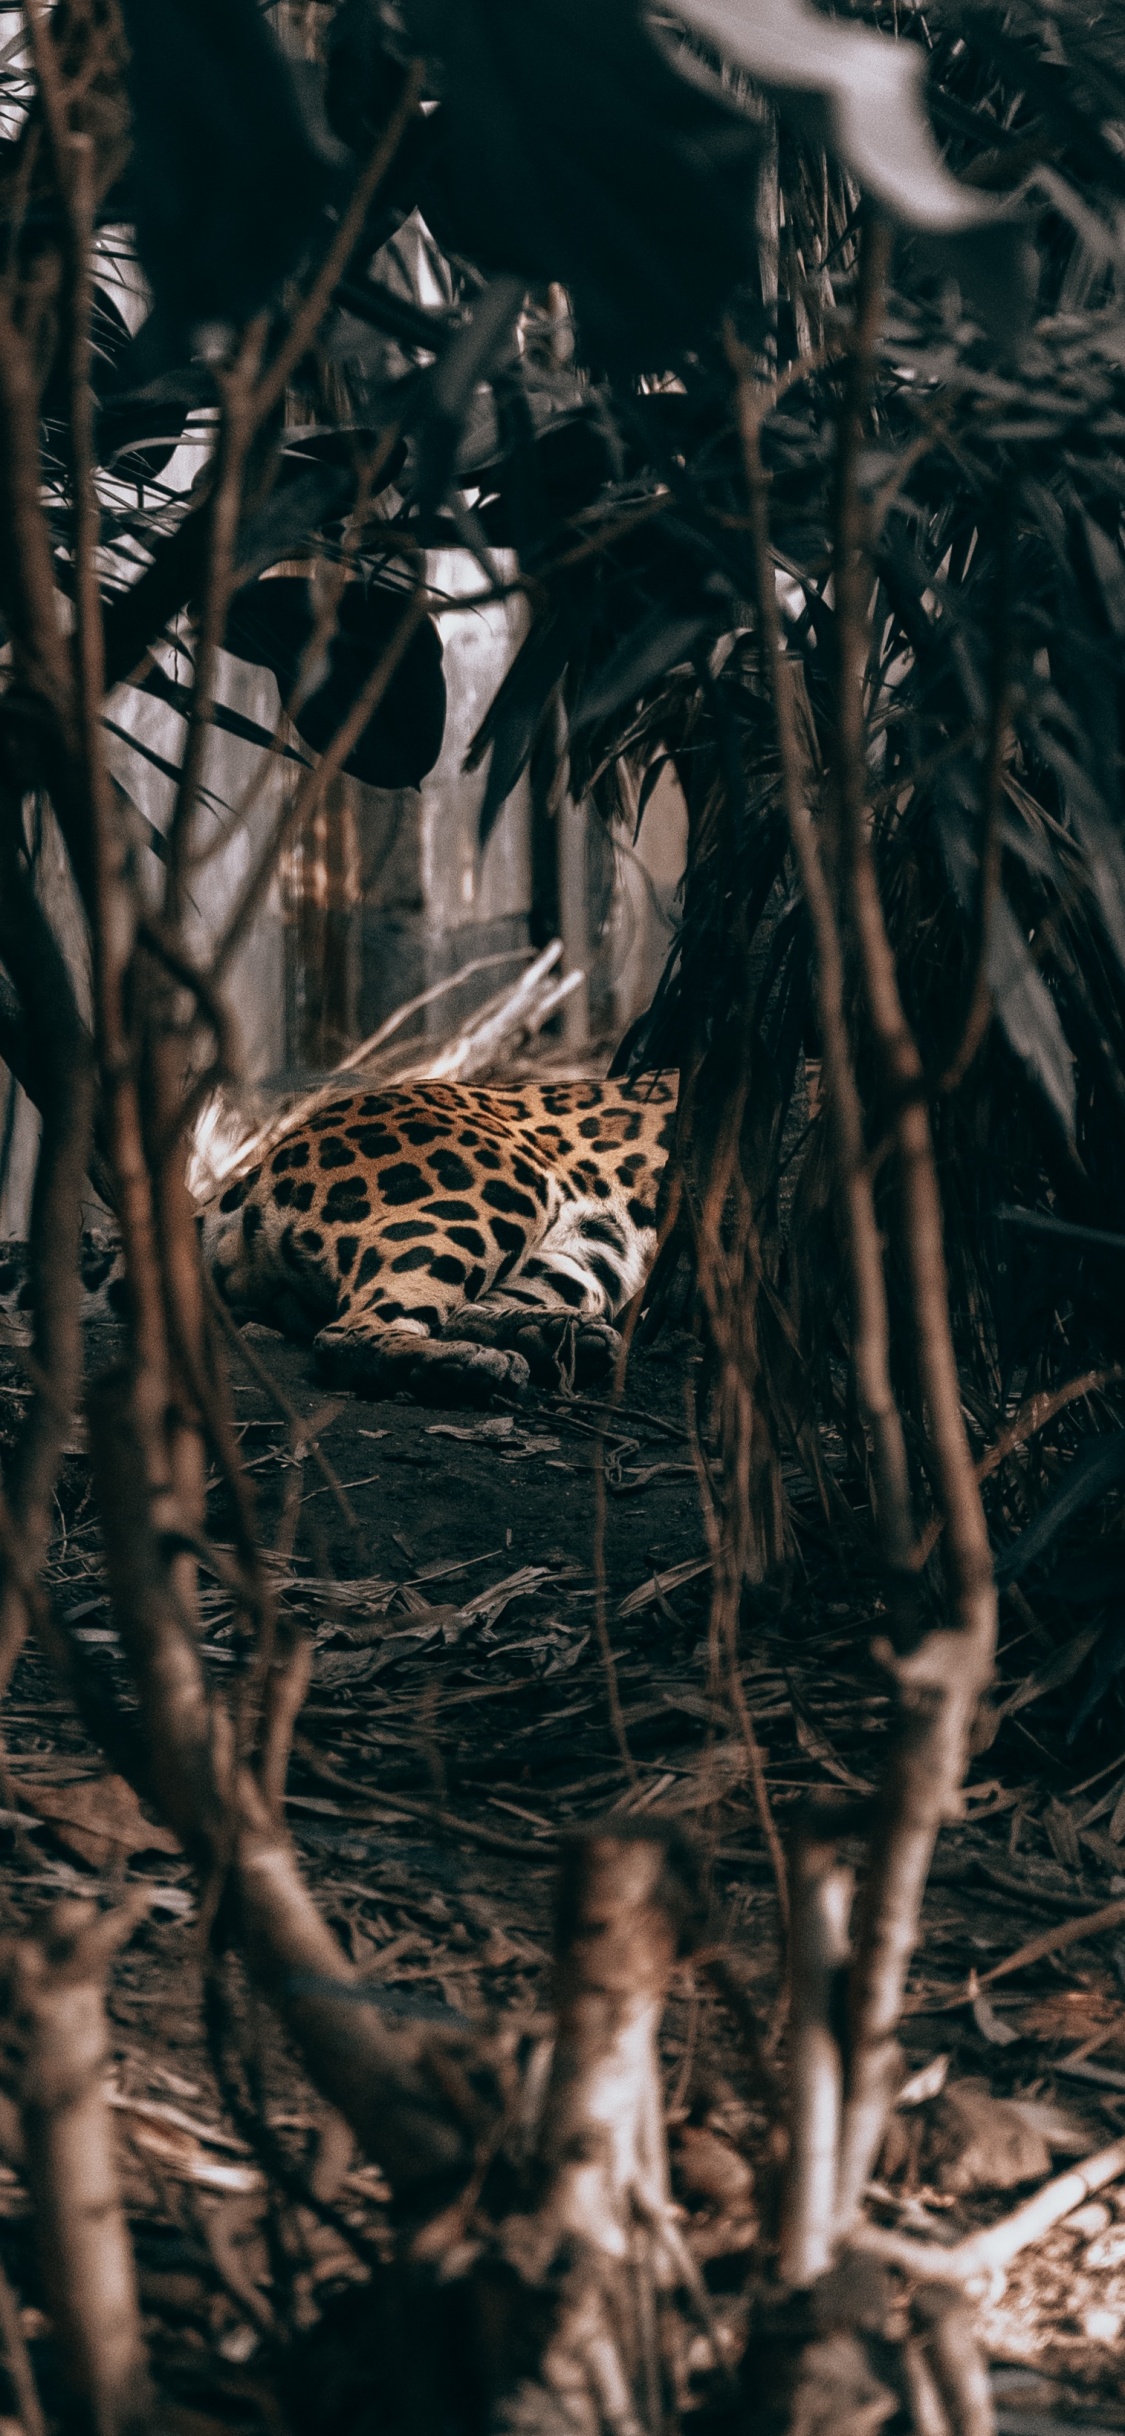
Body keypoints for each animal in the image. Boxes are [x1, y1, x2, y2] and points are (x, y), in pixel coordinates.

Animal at [202, 1070, 679, 1404]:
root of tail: (258, 1165)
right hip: (493, 1190)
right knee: (345, 1332)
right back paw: (469, 1365)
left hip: (585, 1252)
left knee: (456, 1310)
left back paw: (558, 1336)